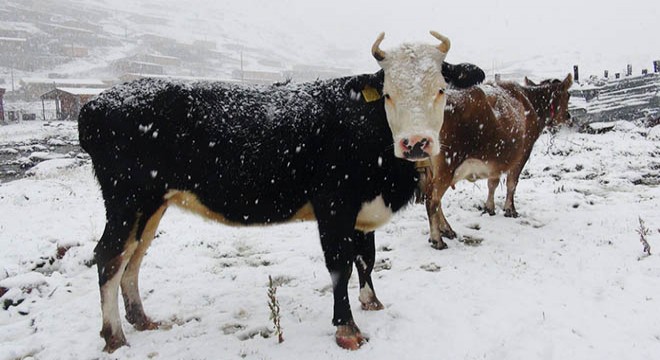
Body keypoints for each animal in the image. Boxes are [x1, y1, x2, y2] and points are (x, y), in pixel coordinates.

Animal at [78, 32, 480, 352]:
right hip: (128, 198)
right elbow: (340, 266)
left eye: (440, 90)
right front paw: (347, 330)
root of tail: (97, 102)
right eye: (388, 94)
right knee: (110, 257)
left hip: (151, 204)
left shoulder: (364, 208)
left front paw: (372, 302)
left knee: (134, 256)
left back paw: (141, 319)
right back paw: (115, 336)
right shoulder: (334, 204)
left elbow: (367, 257)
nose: (416, 143)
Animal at [422, 73, 572, 248]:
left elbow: (492, 183)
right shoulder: (523, 153)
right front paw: (510, 209)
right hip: (447, 166)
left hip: (432, 169)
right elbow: (512, 183)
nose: (569, 117)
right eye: (568, 95)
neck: (530, 102)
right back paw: (437, 239)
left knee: (434, 199)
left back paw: (447, 230)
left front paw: (489, 208)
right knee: (432, 201)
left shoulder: (497, 160)